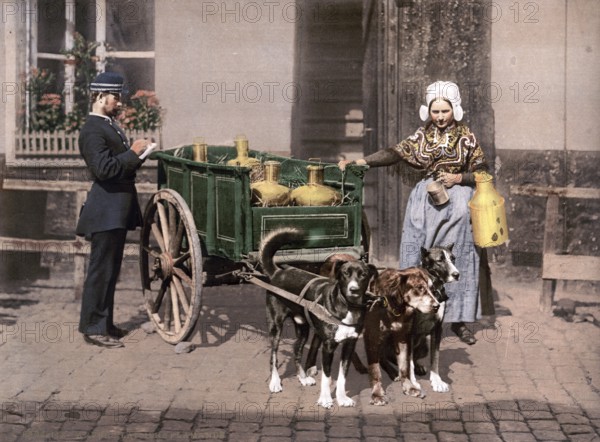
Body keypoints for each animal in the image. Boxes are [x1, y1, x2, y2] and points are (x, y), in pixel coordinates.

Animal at [260, 230, 378, 410]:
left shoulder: (349, 345)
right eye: (345, 274)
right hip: (275, 326)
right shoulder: (328, 346)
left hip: (303, 328)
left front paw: (342, 398)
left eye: (363, 275)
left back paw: (302, 378)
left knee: (297, 350)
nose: (353, 290)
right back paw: (275, 382)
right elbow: (327, 376)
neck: (347, 306)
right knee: (274, 355)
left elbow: (343, 375)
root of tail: (278, 272)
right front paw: (326, 399)